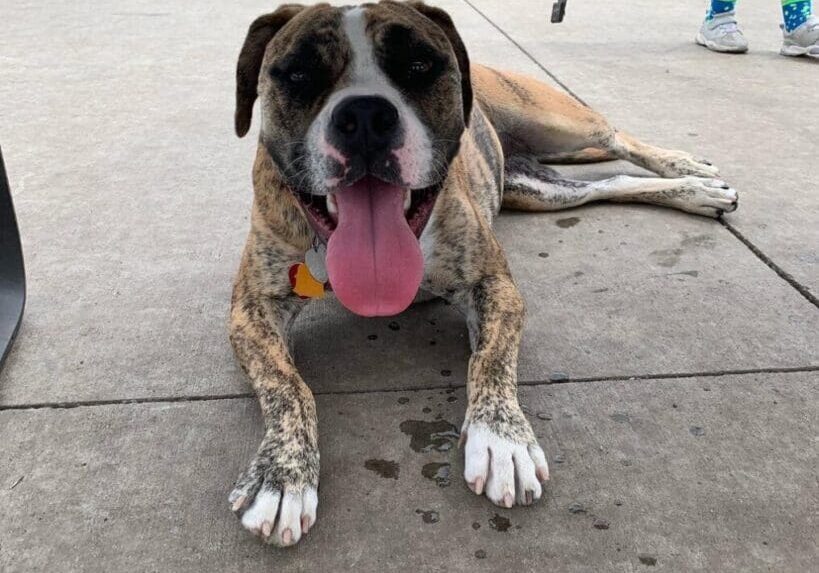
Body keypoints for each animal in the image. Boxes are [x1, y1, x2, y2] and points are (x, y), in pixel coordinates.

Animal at [227, 0, 740, 544]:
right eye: (300, 74)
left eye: (419, 66)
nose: (364, 115)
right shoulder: (251, 311)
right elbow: (288, 387)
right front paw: (283, 473)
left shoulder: (493, 286)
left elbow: (489, 359)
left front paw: (501, 438)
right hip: (539, 189)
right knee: (609, 183)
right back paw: (694, 192)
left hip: (558, 120)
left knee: (620, 139)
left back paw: (688, 171)